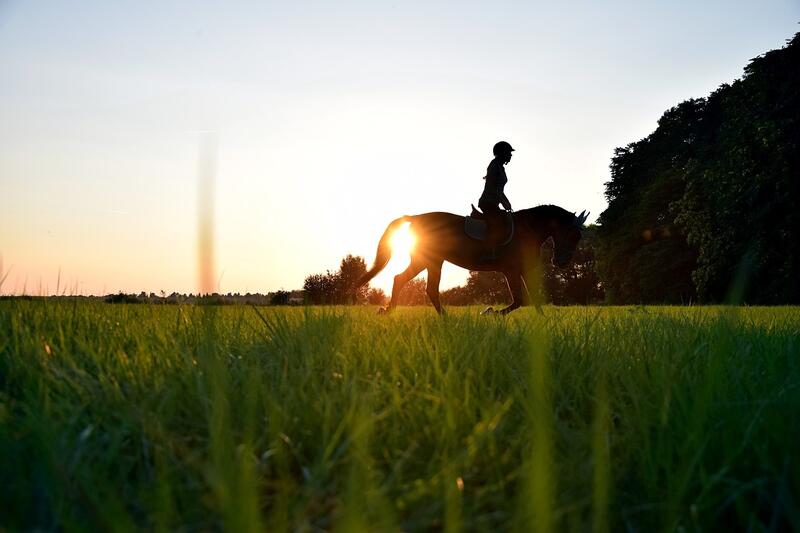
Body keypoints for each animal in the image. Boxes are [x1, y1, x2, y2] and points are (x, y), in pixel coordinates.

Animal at [358, 203, 588, 312]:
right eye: (573, 235)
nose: (562, 263)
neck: (527, 229)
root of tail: (415, 218)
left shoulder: (521, 271)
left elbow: (533, 300)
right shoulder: (511, 271)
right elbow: (518, 301)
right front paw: (489, 312)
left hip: (429, 262)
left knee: (413, 284)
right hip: (428, 261)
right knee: (414, 284)